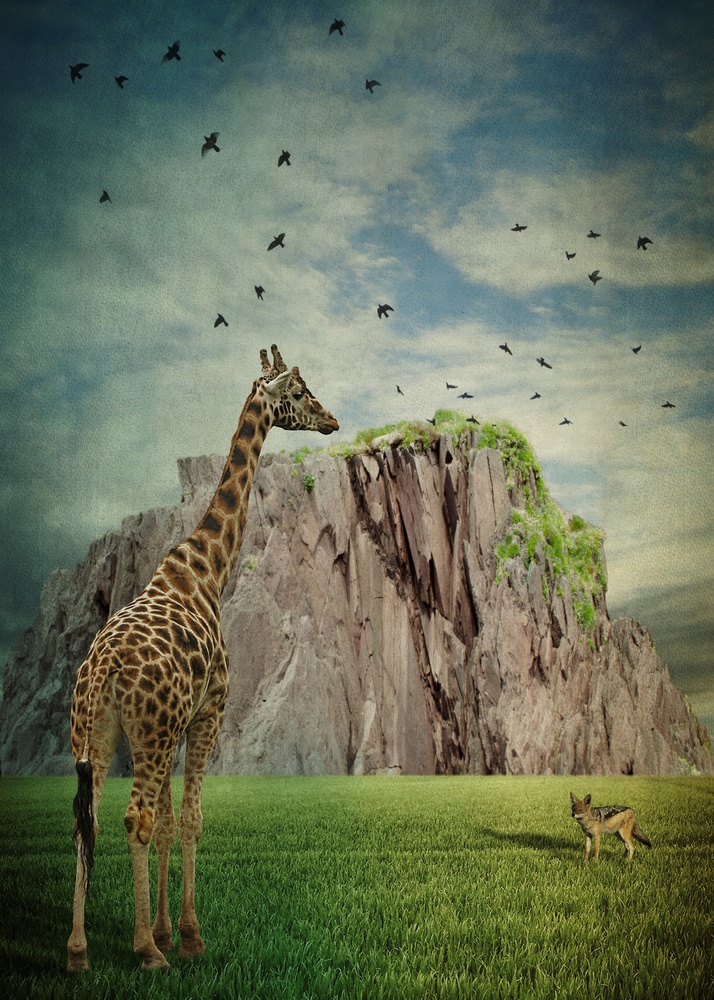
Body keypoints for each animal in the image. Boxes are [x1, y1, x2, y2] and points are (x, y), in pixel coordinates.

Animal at [66, 344, 338, 972]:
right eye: (301, 390)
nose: (333, 419)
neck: (208, 570)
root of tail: (101, 672)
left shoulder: (176, 724)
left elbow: (171, 824)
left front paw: (167, 930)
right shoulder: (206, 713)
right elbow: (187, 821)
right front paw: (185, 937)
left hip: (97, 734)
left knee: (87, 820)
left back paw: (78, 950)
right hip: (146, 731)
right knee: (133, 818)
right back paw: (144, 953)